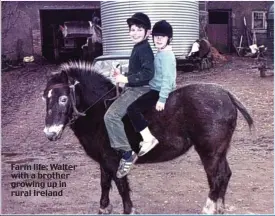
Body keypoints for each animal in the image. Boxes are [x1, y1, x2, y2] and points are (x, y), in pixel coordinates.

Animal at [42, 61, 254, 214]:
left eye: (63, 98)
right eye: (45, 97)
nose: (50, 133)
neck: (100, 111)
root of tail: (226, 94)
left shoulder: (114, 160)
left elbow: (121, 185)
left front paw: (128, 210)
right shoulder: (104, 160)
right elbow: (105, 183)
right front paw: (104, 207)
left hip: (209, 151)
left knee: (216, 178)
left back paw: (209, 208)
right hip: (220, 151)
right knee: (225, 175)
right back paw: (220, 207)